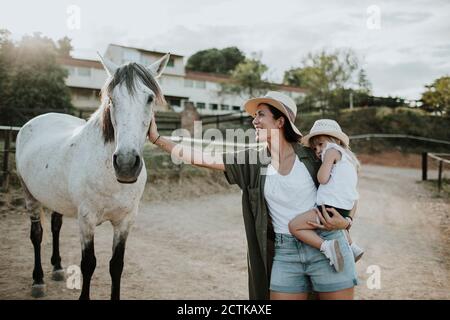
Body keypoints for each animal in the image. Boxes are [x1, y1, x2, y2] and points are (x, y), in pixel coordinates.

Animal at [15, 51, 170, 298]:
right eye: (112, 99)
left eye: (149, 98)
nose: (126, 164)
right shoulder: (86, 220)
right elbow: (88, 264)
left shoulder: (125, 221)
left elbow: (116, 265)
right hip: (29, 193)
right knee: (37, 234)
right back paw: (38, 281)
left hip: (56, 198)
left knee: (55, 226)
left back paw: (57, 268)